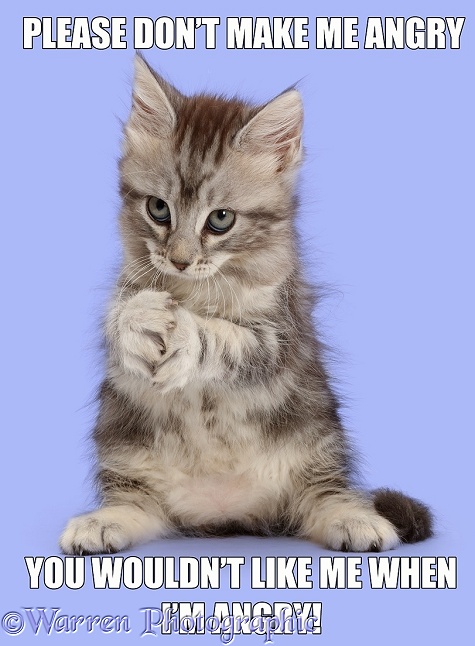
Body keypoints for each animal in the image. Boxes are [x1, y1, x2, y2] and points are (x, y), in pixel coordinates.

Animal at [60, 57, 436, 556]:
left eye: (221, 219)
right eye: (158, 209)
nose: (179, 260)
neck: (197, 290)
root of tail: (226, 511)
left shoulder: (280, 332)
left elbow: (224, 337)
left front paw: (186, 332)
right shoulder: (124, 290)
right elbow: (118, 317)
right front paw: (142, 318)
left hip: (317, 447)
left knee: (325, 495)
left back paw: (357, 520)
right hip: (125, 448)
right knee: (137, 504)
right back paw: (102, 523)